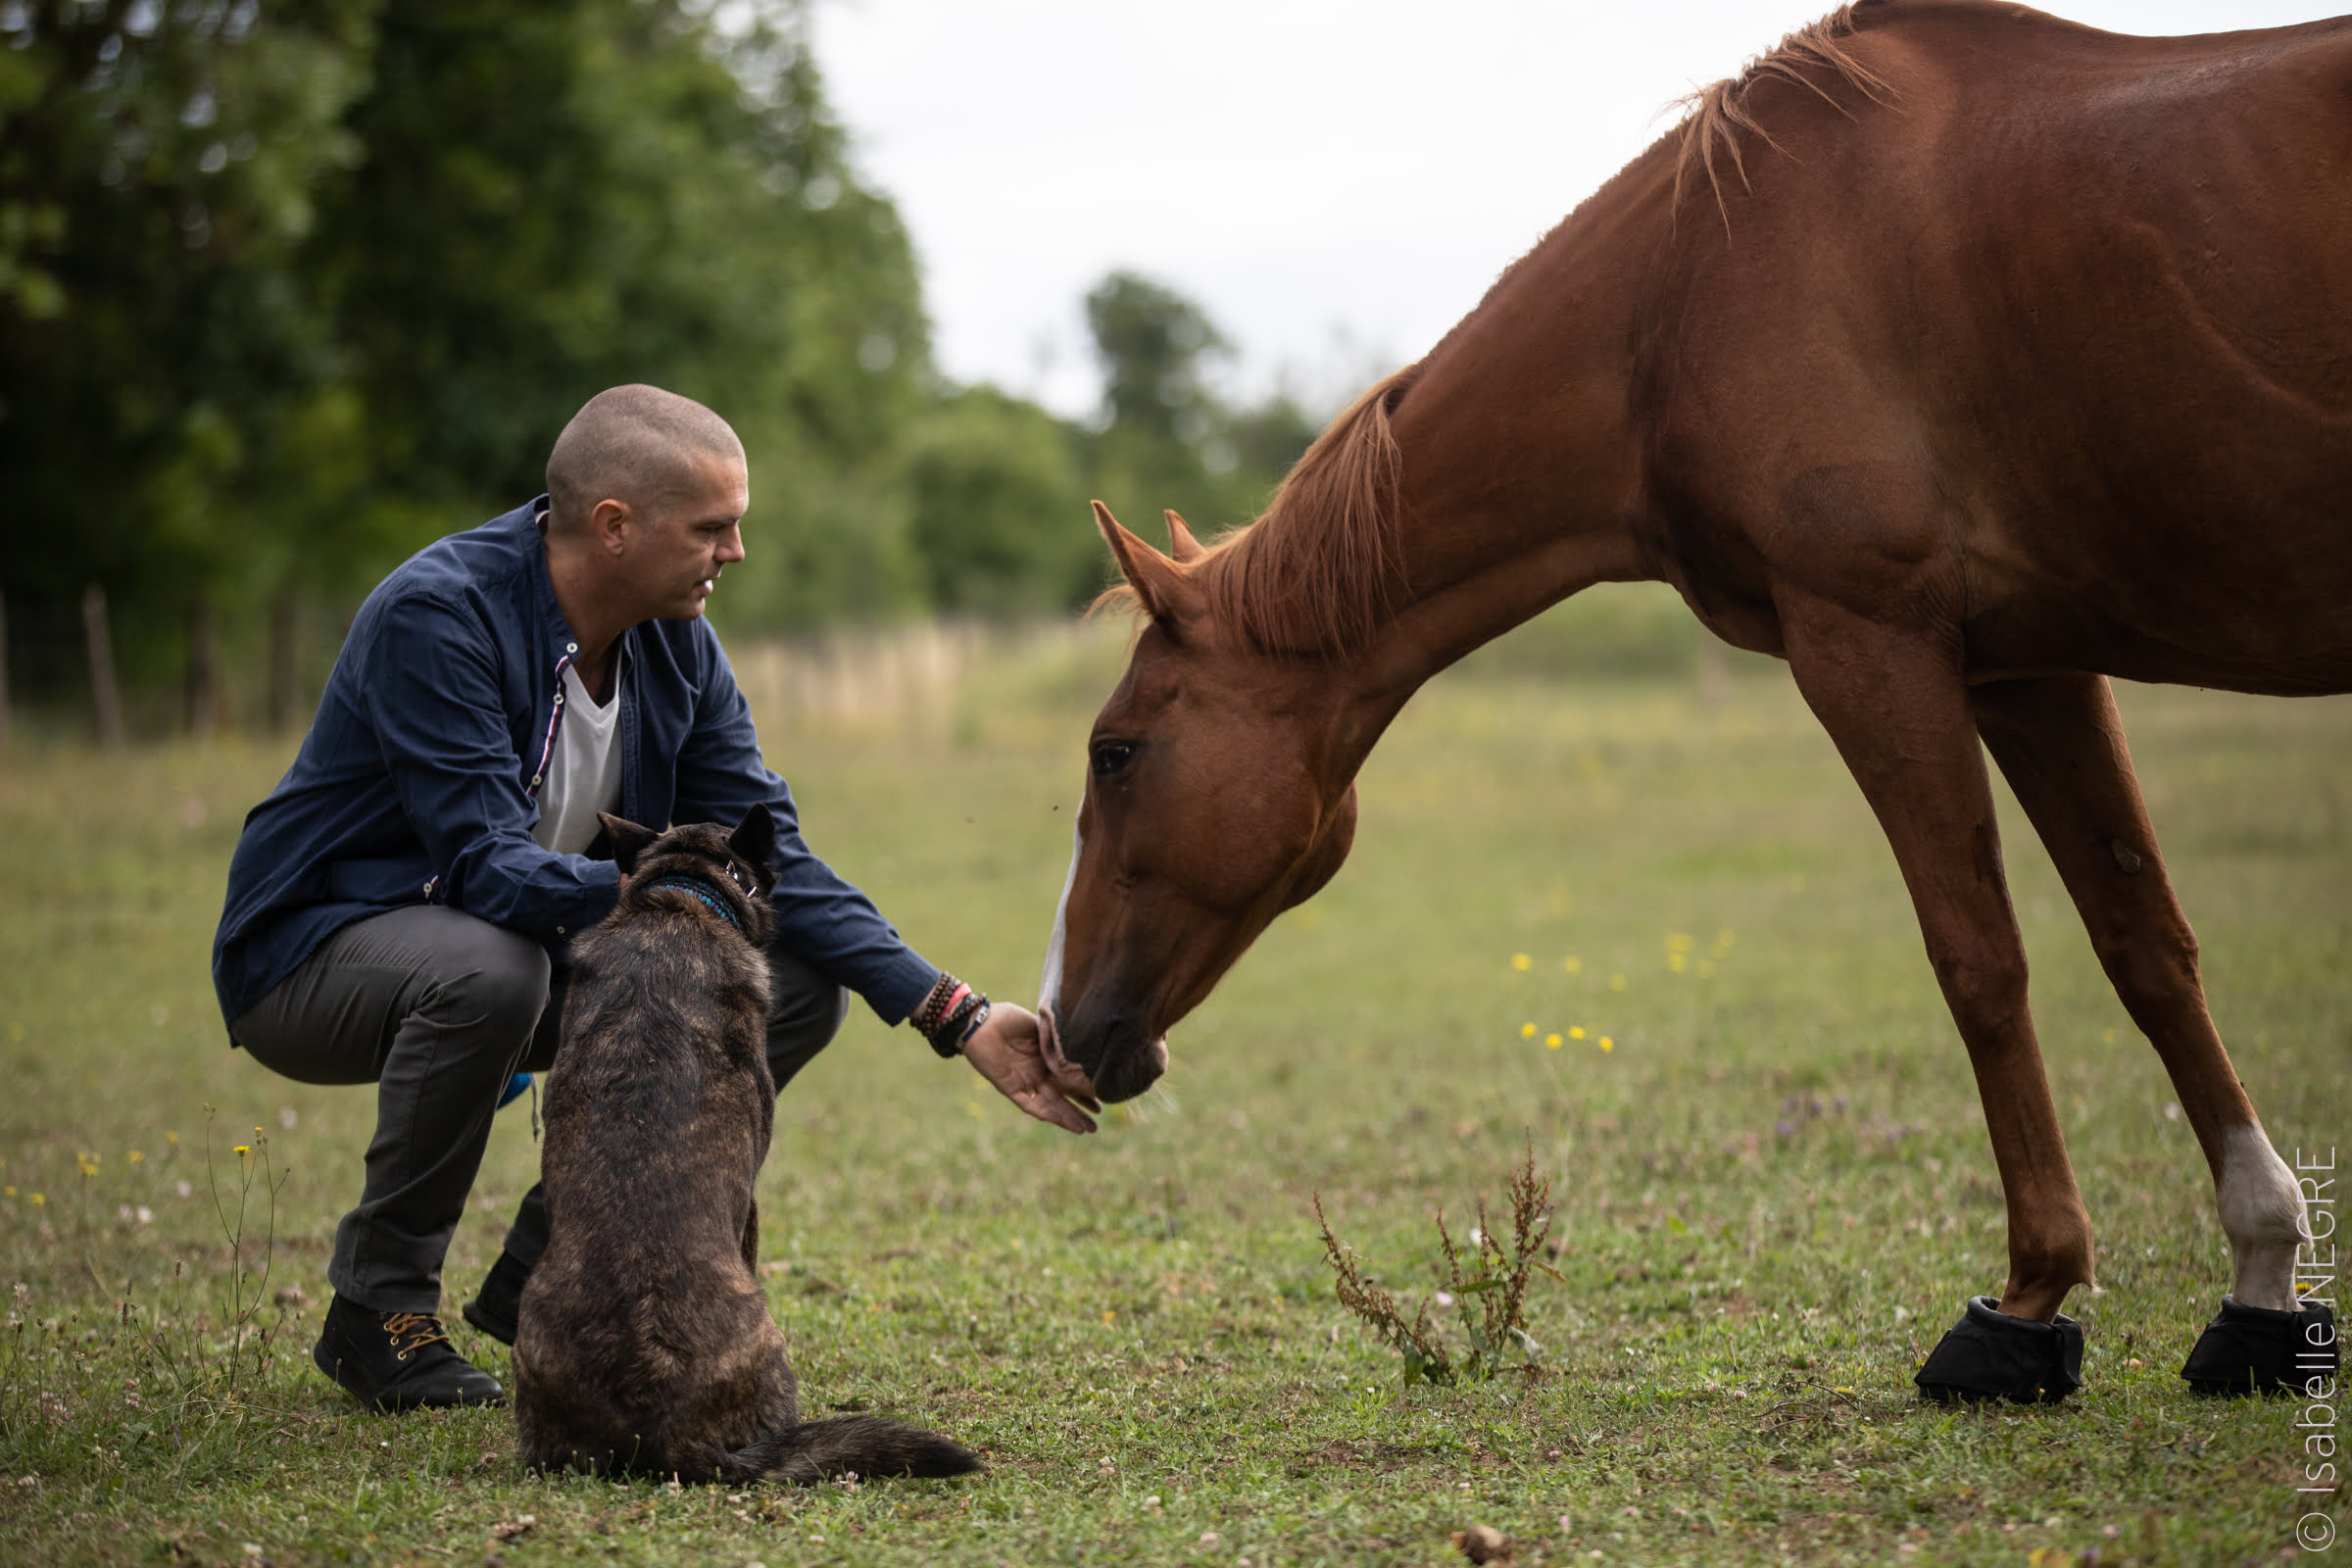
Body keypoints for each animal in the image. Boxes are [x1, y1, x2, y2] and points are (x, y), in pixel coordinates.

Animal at [1044, 0, 2352, 1400]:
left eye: (1115, 752)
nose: (1061, 1022)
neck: (1682, 293)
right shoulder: (2028, 665)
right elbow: (2145, 944)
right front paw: (2262, 1283)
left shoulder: (1868, 639)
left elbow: (1980, 959)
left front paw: (2026, 1302)